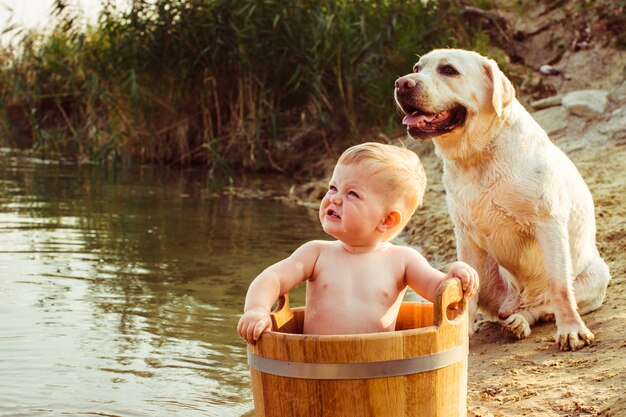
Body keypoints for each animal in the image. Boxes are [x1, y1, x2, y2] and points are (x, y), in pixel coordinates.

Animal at [392, 48, 608, 352]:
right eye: (417, 68)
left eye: (448, 70)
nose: (402, 83)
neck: (480, 155)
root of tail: (515, 301)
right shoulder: (465, 236)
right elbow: (465, 294)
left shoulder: (549, 223)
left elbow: (560, 288)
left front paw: (571, 330)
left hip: (597, 276)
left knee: (543, 306)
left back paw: (521, 321)